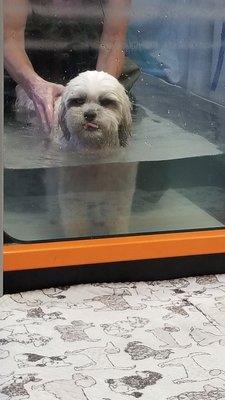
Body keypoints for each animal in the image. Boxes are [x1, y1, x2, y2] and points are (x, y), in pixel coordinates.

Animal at [15, 71, 137, 238]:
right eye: (79, 101)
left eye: (106, 102)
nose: (89, 114)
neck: (93, 152)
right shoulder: (73, 196)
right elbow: (76, 224)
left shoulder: (119, 194)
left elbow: (117, 221)